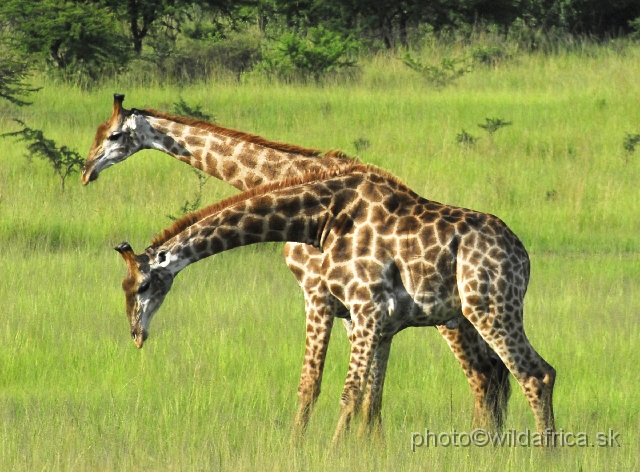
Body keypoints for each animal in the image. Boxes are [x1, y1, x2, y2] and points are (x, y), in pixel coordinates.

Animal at [82, 94, 510, 434]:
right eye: (98, 132)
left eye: (113, 135)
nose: (86, 172)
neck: (284, 174)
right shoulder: (348, 306)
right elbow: (367, 392)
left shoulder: (319, 291)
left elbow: (316, 384)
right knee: (496, 374)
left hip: (452, 318)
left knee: (485, 374)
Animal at [114, 163, 556, 442]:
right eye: (124, 287)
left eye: (143, 285)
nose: (136, 334)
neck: (322, 219)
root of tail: (522, 255)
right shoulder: (376, 320)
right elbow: (367, 398)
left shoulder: (363, 307)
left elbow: (346, 394)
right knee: (517, 374)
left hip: (489, 306)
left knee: (534, 374)